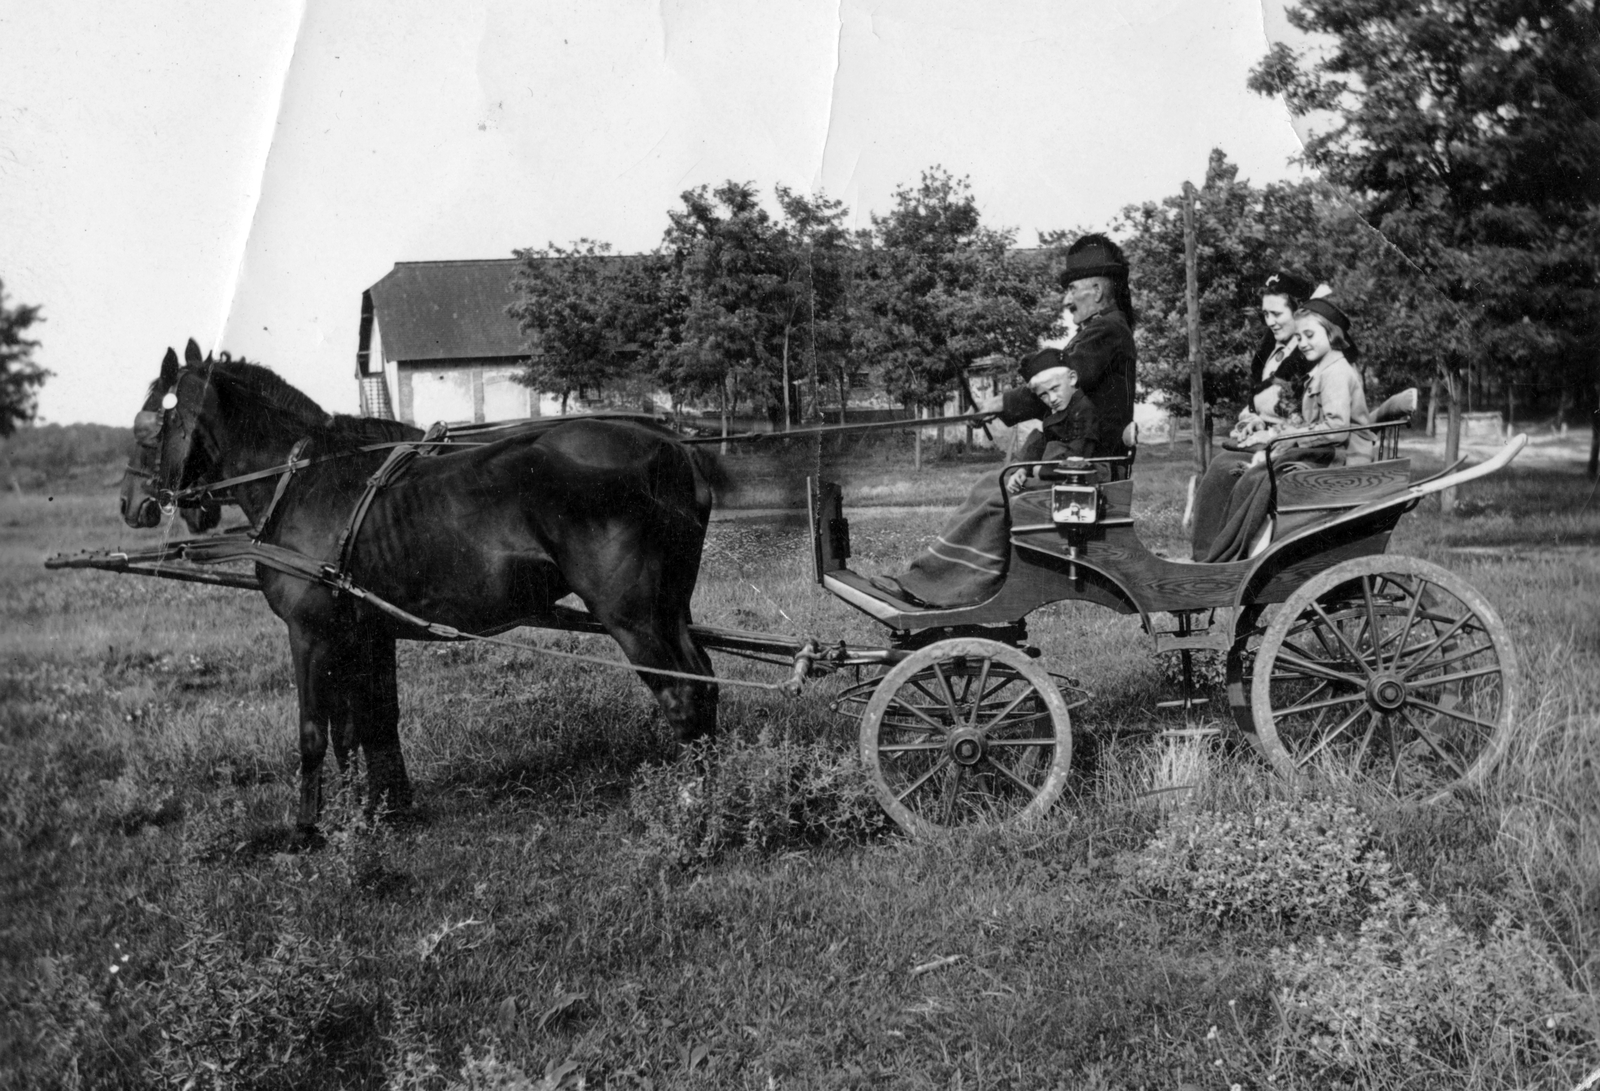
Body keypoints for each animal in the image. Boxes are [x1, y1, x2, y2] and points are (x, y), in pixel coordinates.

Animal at [121, 339, 722, 840]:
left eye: (150, 425)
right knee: (705, 683)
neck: (305, 482)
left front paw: (308, 830)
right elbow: (364, 726)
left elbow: (315, 731)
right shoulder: (361, 632)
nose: (133, 504)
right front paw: (373, 813)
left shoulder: (310, 633)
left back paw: (696, 816)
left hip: (633, 617)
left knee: (682, 695)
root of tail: (671, 451)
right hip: (670, 608)